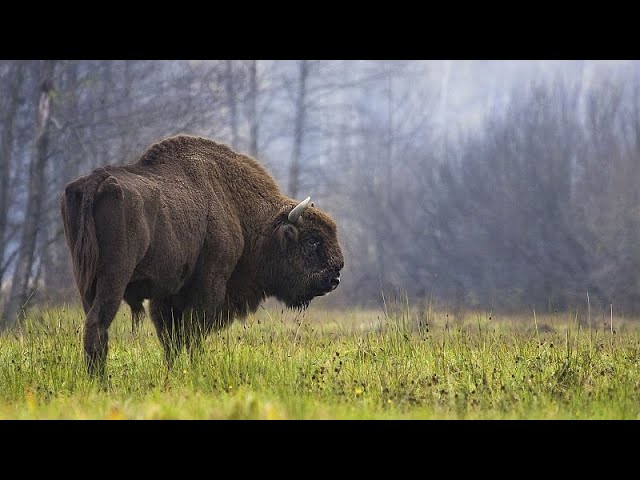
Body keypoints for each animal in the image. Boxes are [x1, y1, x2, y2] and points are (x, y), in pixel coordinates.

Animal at [61, 134, 344, 376]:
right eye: (312, 240)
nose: (335, 277)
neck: (238, 209)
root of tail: (95, 182)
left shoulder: (167, 296)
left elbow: (172, 340)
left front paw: (173, 373)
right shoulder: (208, 286)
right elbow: (193, 334)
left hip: (85, 282)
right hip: (114, 278)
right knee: (98, 324)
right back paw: (101, 381)